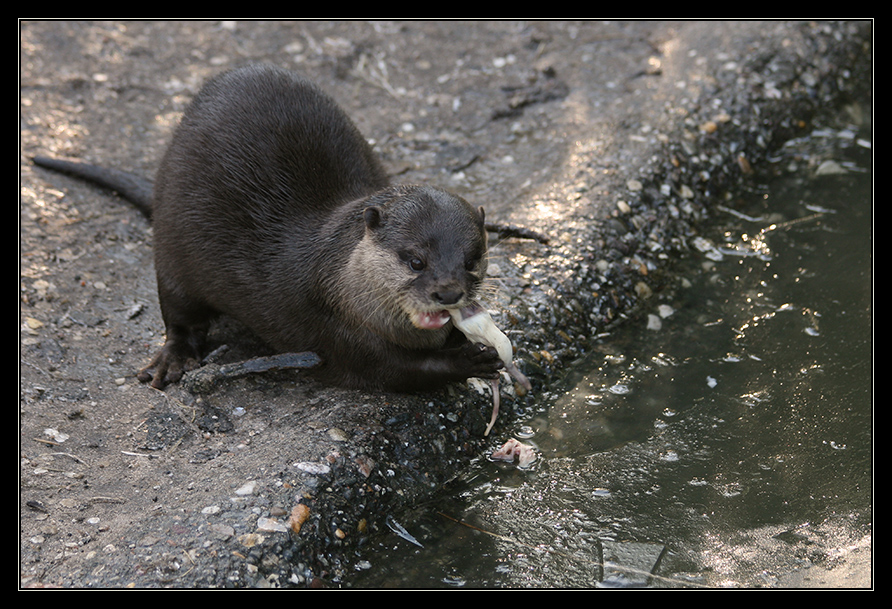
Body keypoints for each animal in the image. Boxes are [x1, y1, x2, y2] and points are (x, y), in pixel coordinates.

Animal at [31, 64, 506, 392]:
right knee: (177, 312)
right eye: (415, 261)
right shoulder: (339, 329)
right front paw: (472, 359)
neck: (342, 279)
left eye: (472, 259)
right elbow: (398, 371)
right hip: (172, 246)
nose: (448, 292)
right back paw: (173, 359)